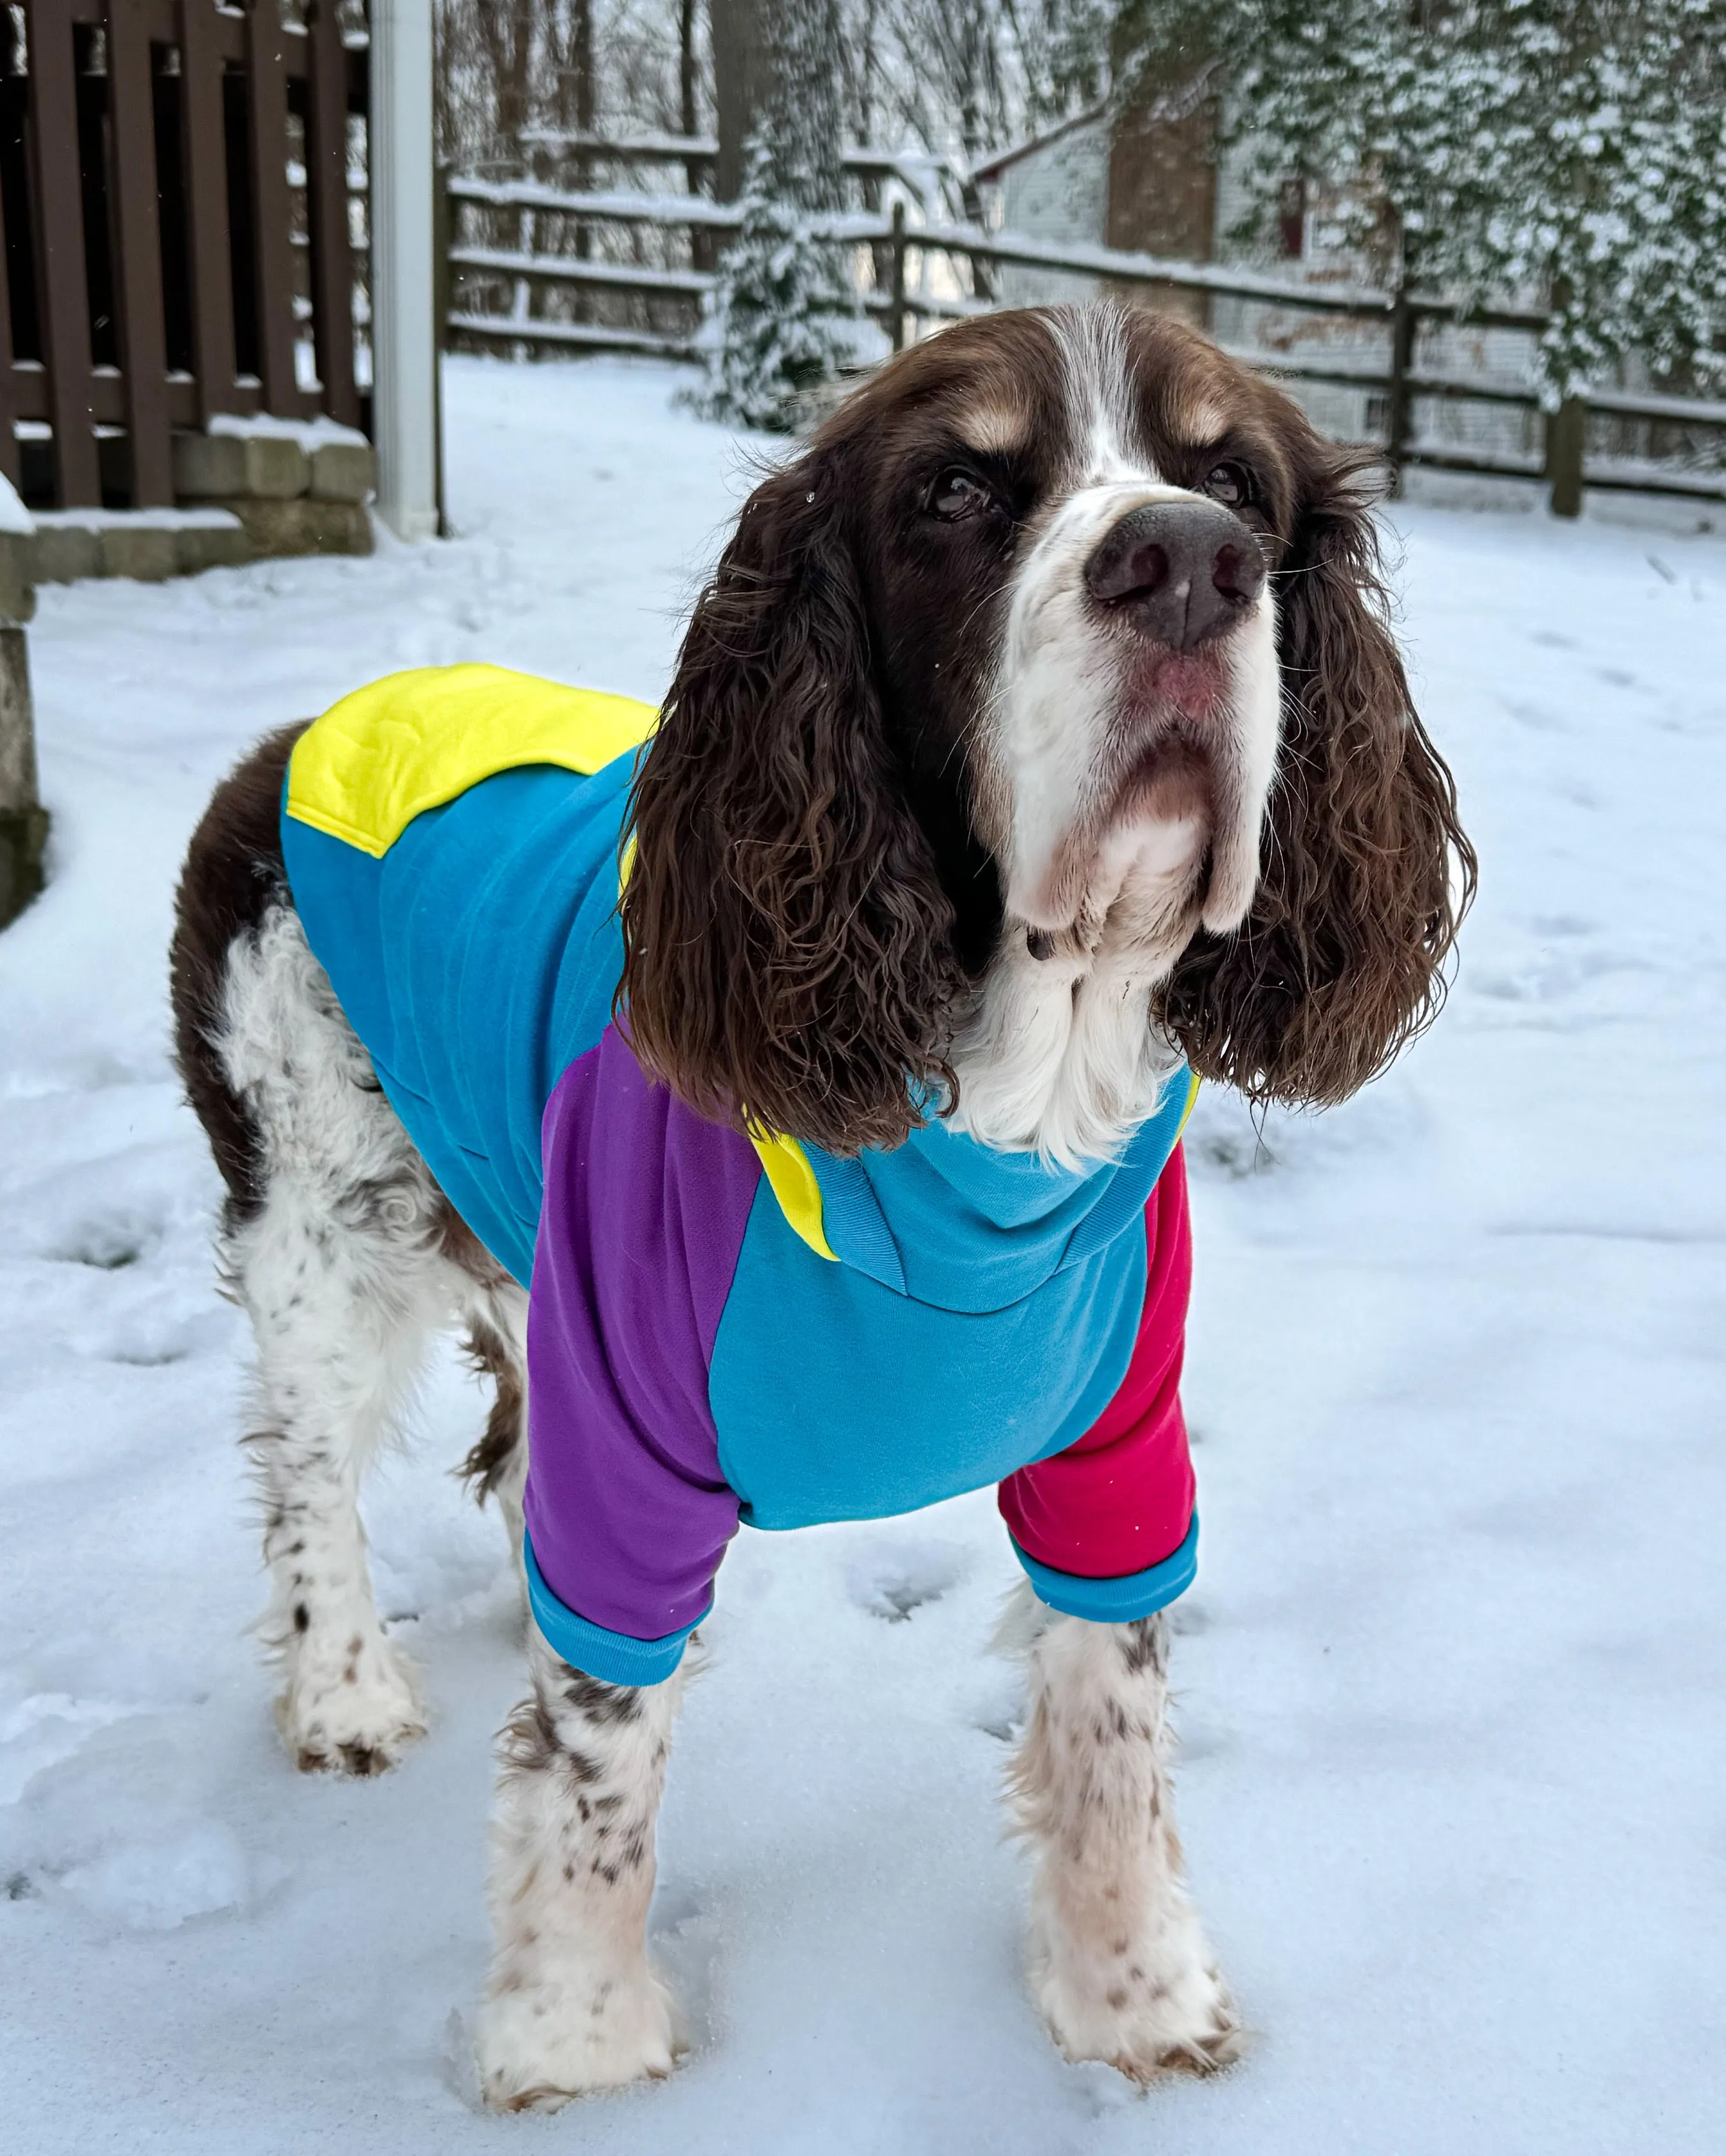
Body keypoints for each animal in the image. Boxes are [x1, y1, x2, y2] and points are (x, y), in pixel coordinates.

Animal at [168, 303, 1475, 2104]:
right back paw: (344, 1691)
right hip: (319, 1229)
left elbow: (1110, 1710)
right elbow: (600, 1772)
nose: (1189, 568)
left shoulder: (1116, 1434)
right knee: (307, 1473)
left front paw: (1135, 1995)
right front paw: (574, 2043)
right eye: (953, 491)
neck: (994, 1125)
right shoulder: (631, 1413)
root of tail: (292, 733)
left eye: (1233, 487)